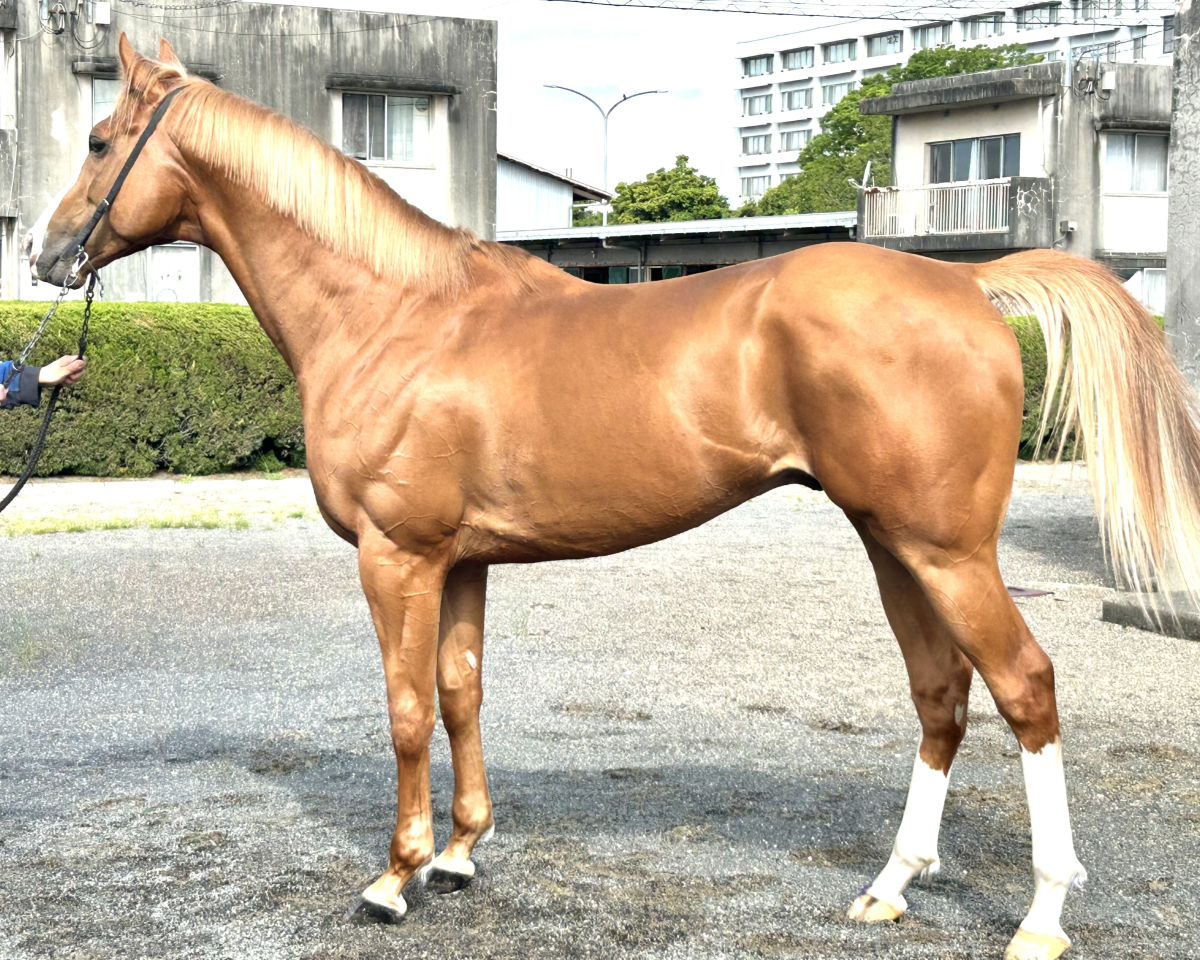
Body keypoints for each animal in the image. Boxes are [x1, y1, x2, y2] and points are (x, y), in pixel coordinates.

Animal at [28, 35, 1200, 960]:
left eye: (98, 144)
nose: (43, 254)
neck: (395, 316)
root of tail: (966, 278)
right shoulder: (461, 561)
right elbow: (461, 693)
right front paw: (461, 855)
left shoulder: (396, 555)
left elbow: (406, 709)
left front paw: (395, 877)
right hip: (892, 543)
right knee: (941, 694)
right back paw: (890, 888)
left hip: (947, 549)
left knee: (1025, 687)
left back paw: (1041, 916)